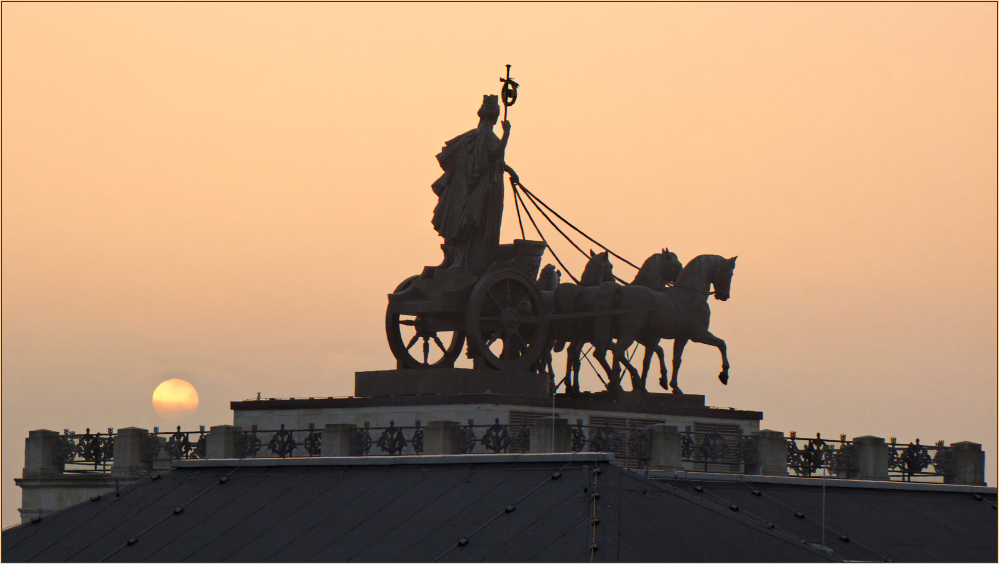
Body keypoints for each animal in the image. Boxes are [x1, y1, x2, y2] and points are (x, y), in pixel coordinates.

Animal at [592, 254, 736, 392]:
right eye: (730, 274)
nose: (725, 295)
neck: (690, 295)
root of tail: (619, 290)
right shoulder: (698, 335)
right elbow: (722, 344)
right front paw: (724, 374)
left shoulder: (680, 337)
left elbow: (675, 360)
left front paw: (674, 386)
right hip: (629, 334)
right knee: (617, 351)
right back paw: (619, 383)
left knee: (602, 353)